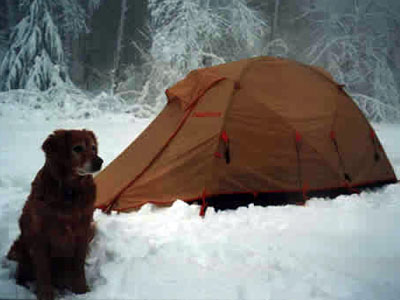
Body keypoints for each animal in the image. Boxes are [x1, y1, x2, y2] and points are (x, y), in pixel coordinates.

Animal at [6, 130, 102, 300]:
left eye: (93, 147)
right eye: (77, 148)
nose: (100, 162)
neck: (69, 192)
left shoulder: (83, 232)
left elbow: (79, 266)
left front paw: (81, 291)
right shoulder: (40, 236)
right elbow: (43, 271)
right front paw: (45, 295)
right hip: (20, 246)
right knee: (23, 273)